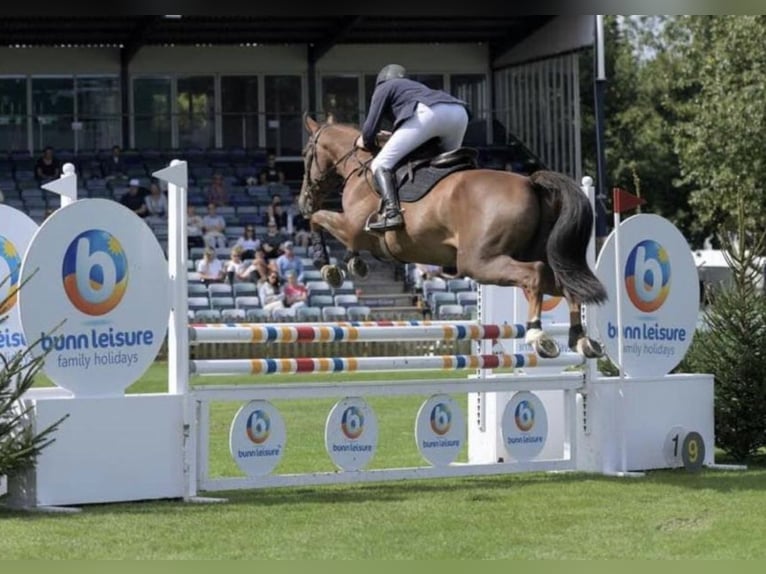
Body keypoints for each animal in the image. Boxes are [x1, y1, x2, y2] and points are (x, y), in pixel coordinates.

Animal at [296, 113, 608, 360]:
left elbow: (318, 219)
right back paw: (581, 340)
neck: (360, 169)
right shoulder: (360, 235)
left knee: (535, 275)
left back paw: (537, 336)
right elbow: (334, 232)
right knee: (564, 283)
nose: (302, 200)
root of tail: (532, 182)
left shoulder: (350, 227)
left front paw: (326, 266)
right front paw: (353, 263)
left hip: (479, 262)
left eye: (305, 154)